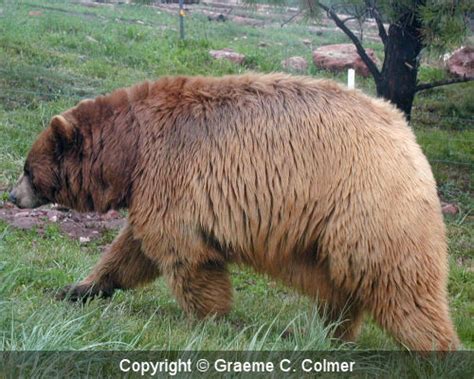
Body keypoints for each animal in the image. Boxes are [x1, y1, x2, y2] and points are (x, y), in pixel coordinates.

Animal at [8, 74, 460, 354]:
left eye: (27, 168)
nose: (12, 196)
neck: (130, 150)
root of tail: (407, 137)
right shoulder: (152, 188)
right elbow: (129, 251)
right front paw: (78, 288)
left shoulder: (172, 172)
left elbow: (183, 254)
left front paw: (211, 319)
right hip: (326, 231)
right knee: (339, 289)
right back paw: (328, 332)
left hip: (368, 208)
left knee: (399, 284)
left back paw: (433, 348)